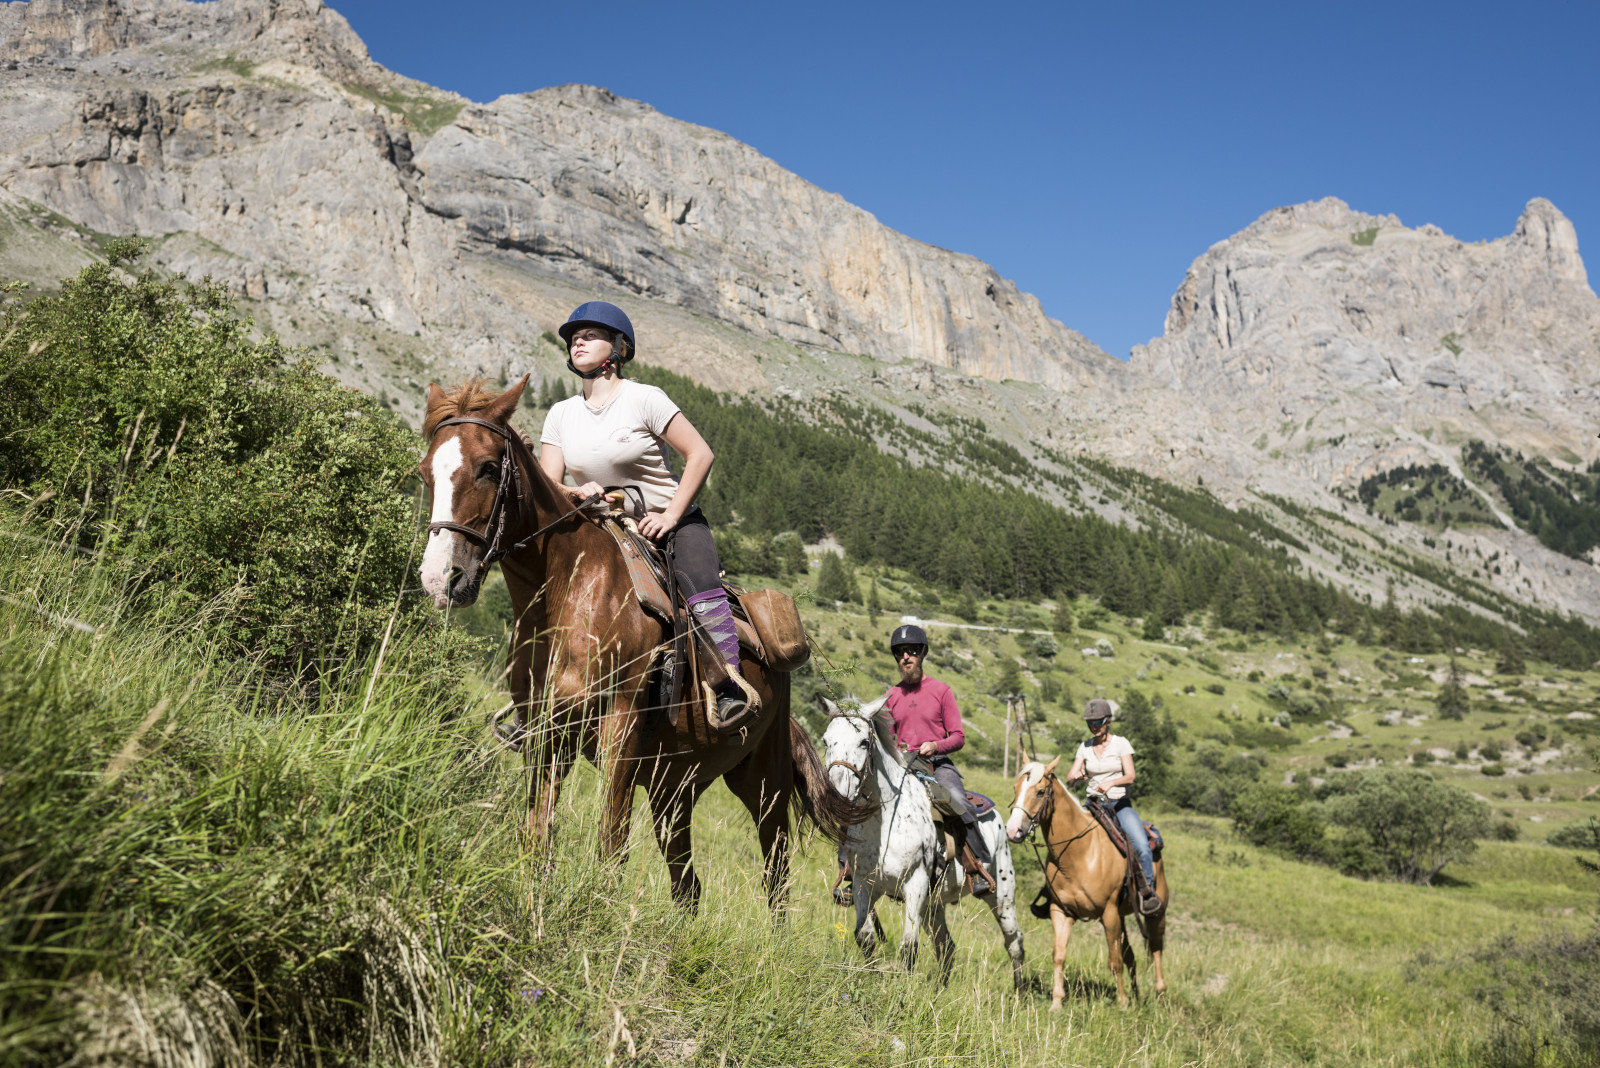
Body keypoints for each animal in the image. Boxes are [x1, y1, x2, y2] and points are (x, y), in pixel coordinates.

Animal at [412, 378, 864, 908]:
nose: (441, 578)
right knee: (687, 884)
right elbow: (537, 833)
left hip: (762, 781)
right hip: (676, 786)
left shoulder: (621, 726)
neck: (569, 590)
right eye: (424, 471)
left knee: (776, 877)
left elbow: (610, 842)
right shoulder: (546, 732)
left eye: (486, 467)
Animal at [825, 697, 1024, 991]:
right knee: (947, 946)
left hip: (1002, 897)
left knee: (1014, 943)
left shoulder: (915, 884)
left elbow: (909, 947)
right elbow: (865, 937)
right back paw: (940, 990)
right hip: (934, 905)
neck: (885, 823)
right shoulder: (864, 884)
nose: (837, 795)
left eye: (863, 742)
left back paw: (1020, 995)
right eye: (827, 741)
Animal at [1004, 754, 1171, 1004]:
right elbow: (1059, 955)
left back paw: (1159, 994)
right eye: (1015, 788)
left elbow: (1114, 962)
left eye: (1041, 792)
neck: (1079, 854)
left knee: (1156, 947)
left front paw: (1122, 1003)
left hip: (1155, 912)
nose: (1012, 830)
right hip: (1121, 916)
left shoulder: (1109, 913)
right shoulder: (1061, 912)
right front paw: (1056, 1002)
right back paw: (1137, 996)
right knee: (1131, 955)